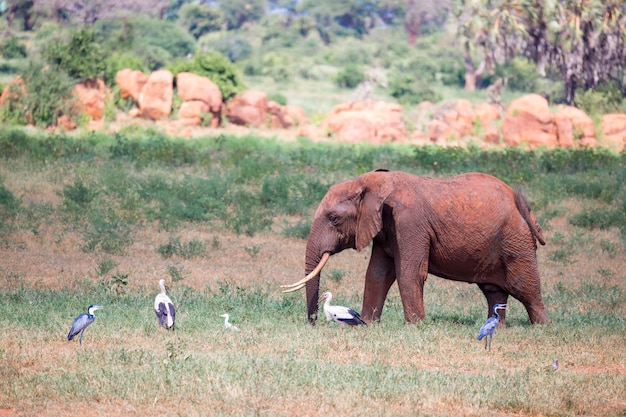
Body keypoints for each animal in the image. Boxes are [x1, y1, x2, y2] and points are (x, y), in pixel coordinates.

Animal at [280, 167, 548, 326]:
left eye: (334, 219)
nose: (313, 323)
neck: (372, 182)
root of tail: (520, 202)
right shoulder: (386, 228)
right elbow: (377, 274)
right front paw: (368, 324)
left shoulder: (410, 222)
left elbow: (409, 273)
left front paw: (416, 326)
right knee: (494, 292)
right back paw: (496, 327)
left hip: (516, 240)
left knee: (525, 288)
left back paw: (541, 327)